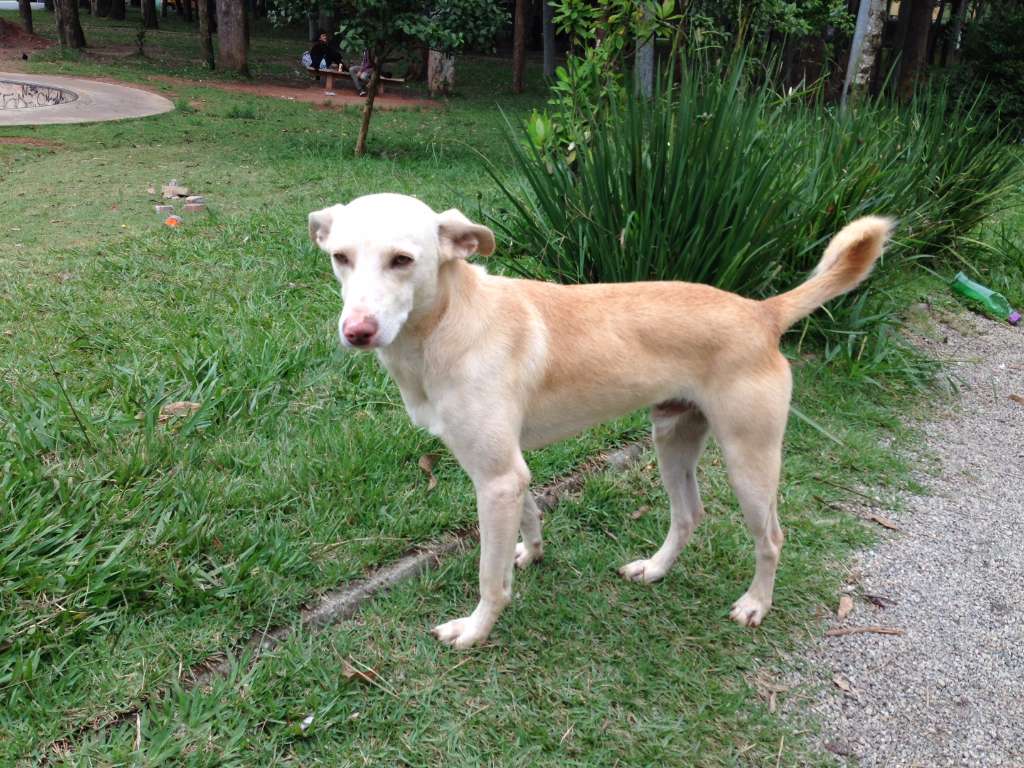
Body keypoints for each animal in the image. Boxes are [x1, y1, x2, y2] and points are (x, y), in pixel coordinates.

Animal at [308, 193, 892, 648]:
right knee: (689, 515)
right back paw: (655, 569)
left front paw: (475, 630)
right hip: (673, 437)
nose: (357, 331)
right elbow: (530, 515)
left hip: (749, 460)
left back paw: (756, 603)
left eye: (402, 260)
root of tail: (762, 312)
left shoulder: (495, 477)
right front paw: (532, 553)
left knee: (771, 537)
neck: (451, 322)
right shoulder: (508, 473)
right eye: (340, 257)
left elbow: (489, 578)